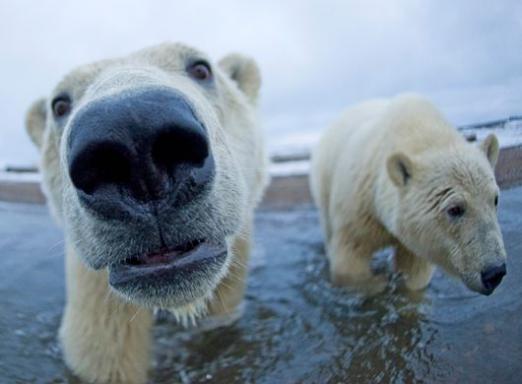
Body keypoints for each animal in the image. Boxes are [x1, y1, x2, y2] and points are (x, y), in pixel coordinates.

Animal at [310, 94, 506, 296]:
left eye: (495, 200)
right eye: (455, 209)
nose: (495, 272)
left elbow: (414, 274)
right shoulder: (358, 208)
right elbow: (350, 258)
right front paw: (379, 284)